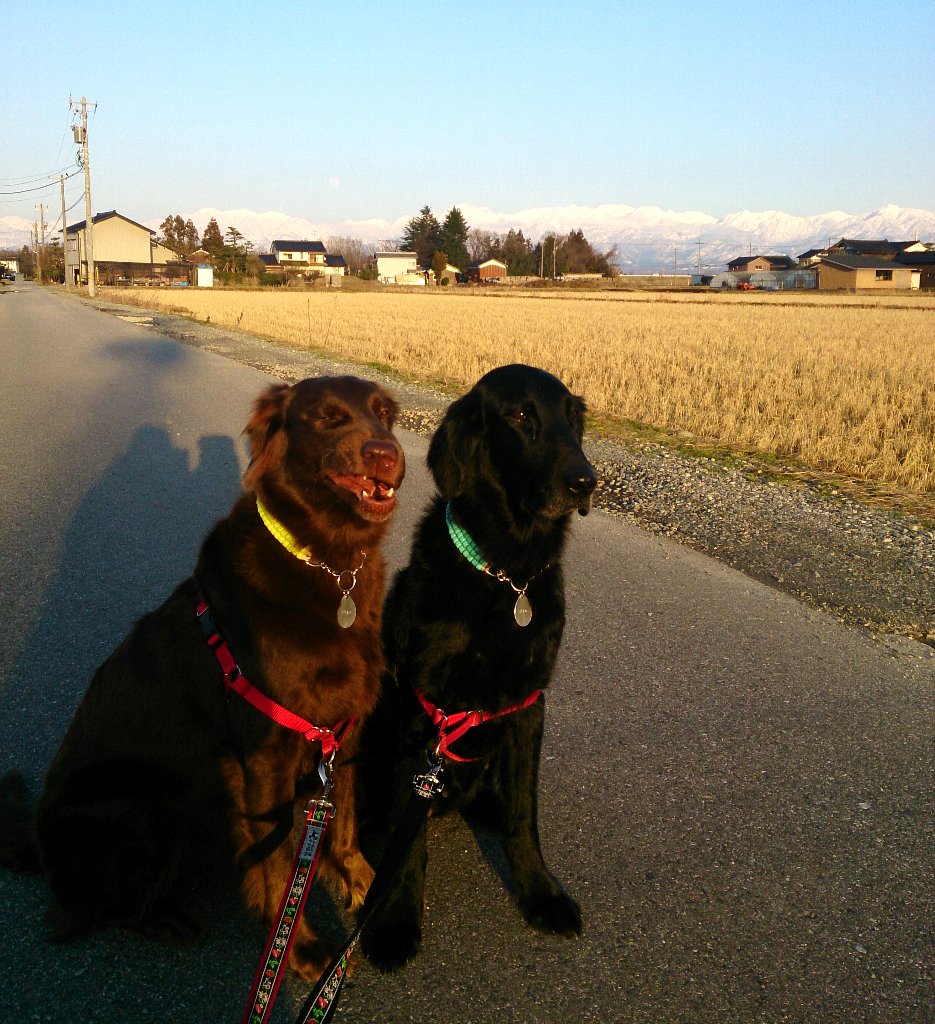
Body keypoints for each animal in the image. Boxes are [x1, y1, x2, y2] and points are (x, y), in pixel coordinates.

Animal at [0, 375, 404, 981]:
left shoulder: (345, 733)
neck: (328, 563)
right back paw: (169, 920)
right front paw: (299, 951)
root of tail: (39, 840)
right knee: (91, 911)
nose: (389, 455)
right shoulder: (264, 757)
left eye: (385, 416)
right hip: (143, 807)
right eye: (329, 418)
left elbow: (346, 823)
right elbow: (280, 868)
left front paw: (364, 887)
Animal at [358, 363, 596, 972]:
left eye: (572, 417)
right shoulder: (424, 707)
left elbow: (524, 816)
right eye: (521, 416)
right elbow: (408, 844)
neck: (506, 575)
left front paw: (540, 893)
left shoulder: (528, 703)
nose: (586, 482)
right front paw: (394, 921)